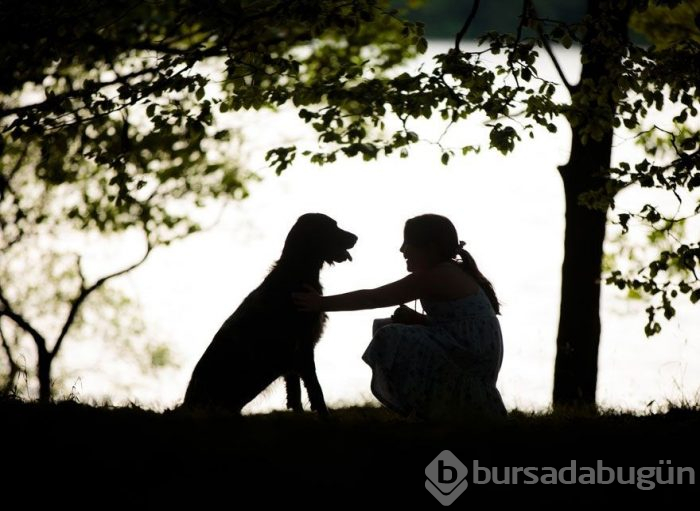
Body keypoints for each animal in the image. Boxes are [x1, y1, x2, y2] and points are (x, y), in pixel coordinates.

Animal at [182, 213, 356, 416]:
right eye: (332, 226)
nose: (356, 237)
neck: (295, 274)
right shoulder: (303, 347)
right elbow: (315, 389)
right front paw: (325, 417)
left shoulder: (293, 358)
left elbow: (295, 393)